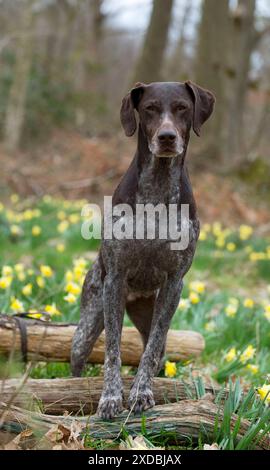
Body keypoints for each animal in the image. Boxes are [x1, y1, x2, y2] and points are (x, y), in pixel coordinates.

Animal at [71, 80, 215, 418]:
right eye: (150, 108)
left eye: (182, 108)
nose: (167, 137)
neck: (158, 188)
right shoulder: (114, 280)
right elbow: (112, 350)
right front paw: (110, 398)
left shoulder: (174, 284)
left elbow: (148, 353)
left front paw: (141, 393)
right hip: (89, 318)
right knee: (79, 356)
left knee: (157, 351)